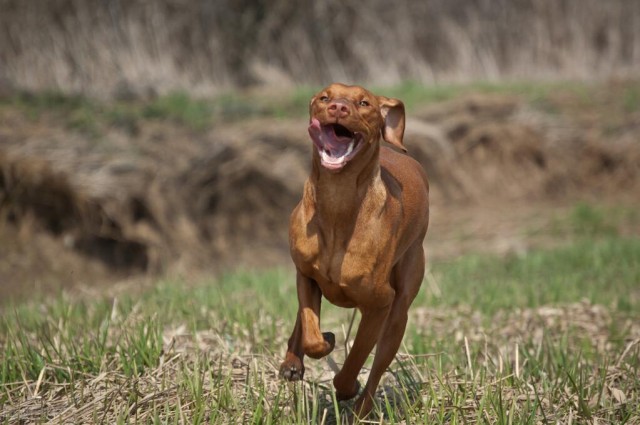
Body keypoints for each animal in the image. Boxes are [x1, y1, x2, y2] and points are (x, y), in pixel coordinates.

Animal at [280, 83, 430, 418]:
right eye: (324, 97)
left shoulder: (379, 305)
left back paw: (362, 409)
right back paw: (292, 361)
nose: (338, 107)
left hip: (400, 310)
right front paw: (321, 341)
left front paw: (347, 388)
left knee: (378, 366)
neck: (338, 203)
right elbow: (311, 333)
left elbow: (357, 358)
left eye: (364, 103)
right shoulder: (305, 275)